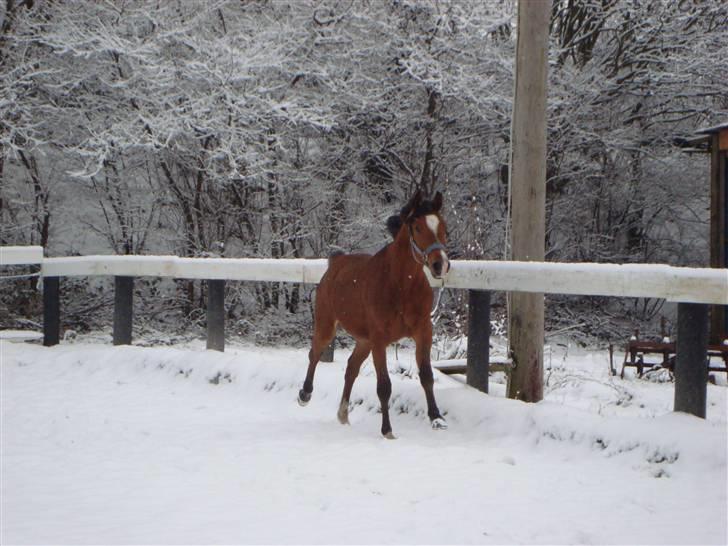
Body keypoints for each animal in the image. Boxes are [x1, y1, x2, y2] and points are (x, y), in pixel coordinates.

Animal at [298, 189, 450, 436]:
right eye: (418, 227)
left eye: (443, 226)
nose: (440, 264)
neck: (401, 286)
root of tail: (336, 261)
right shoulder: (380, 340)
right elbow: (384, 386)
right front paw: (387, 430)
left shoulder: (423, 332)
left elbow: (427, 376)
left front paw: (436, 418)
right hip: (327, 326)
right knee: (315, 354)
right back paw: (305, 394)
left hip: (364, 340)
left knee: (351, 367)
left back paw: (343, 415)